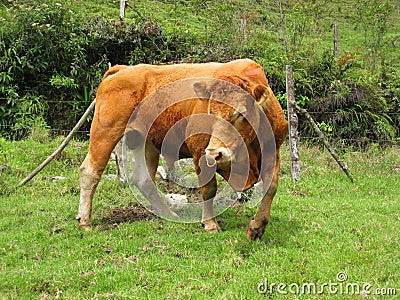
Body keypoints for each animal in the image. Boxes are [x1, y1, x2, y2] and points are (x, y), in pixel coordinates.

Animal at [76, 58, 288, 240]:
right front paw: (210, 224)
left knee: (144, 180)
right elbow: (209, 189)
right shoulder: (200, 151)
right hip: (105, 132)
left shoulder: (273, 152)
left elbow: (271, 187)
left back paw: (169, 214)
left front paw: (257, 227)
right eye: (210, 111)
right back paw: (84, 220)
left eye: (241, 113)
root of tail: (123, 69)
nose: (215, 153)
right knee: (90, 171)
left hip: (146, 142)